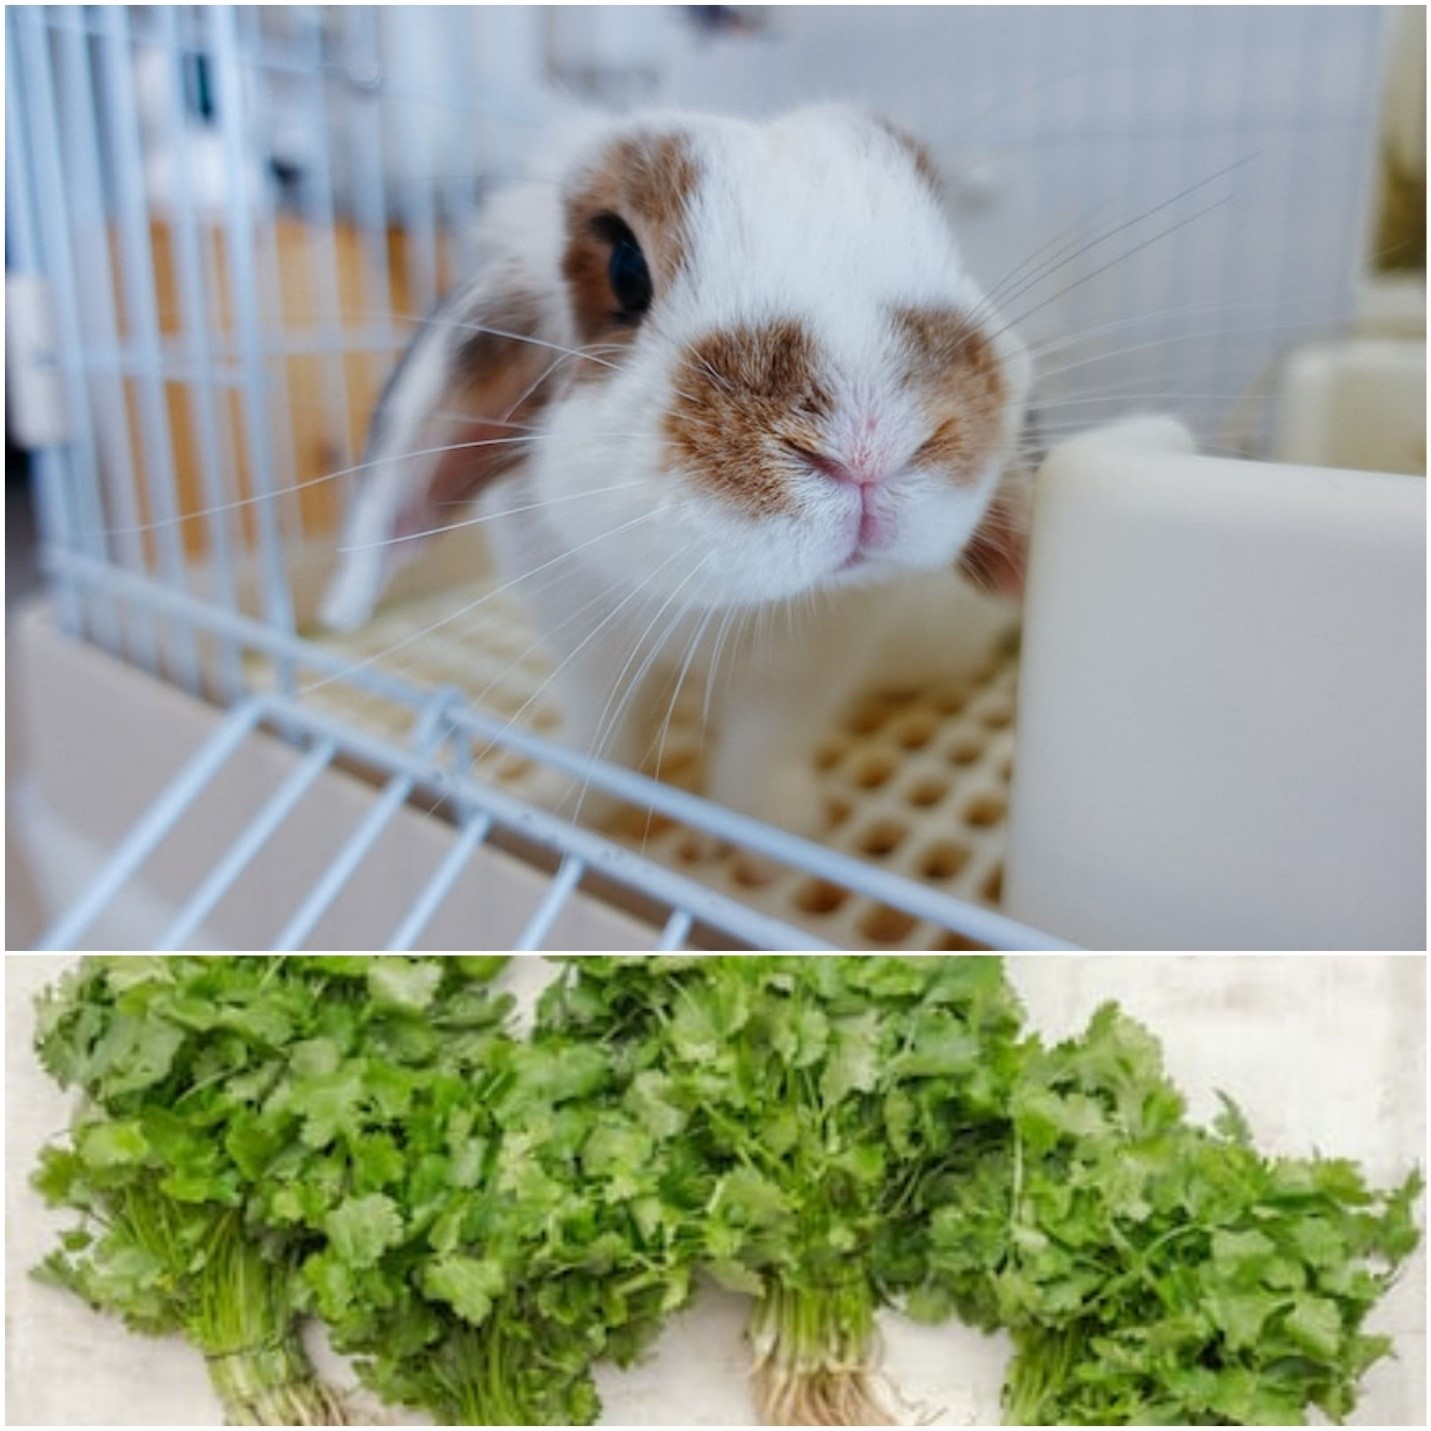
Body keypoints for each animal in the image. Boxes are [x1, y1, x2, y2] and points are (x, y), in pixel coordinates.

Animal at [321, 104, 1032, 845]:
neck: (705, 604)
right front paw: (563, 805)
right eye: (624, 267)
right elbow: (603, 738)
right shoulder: (584, 648)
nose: (871, 448)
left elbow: (760, 752)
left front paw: (778, 836)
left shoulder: (800, 672)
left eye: (943, 236)